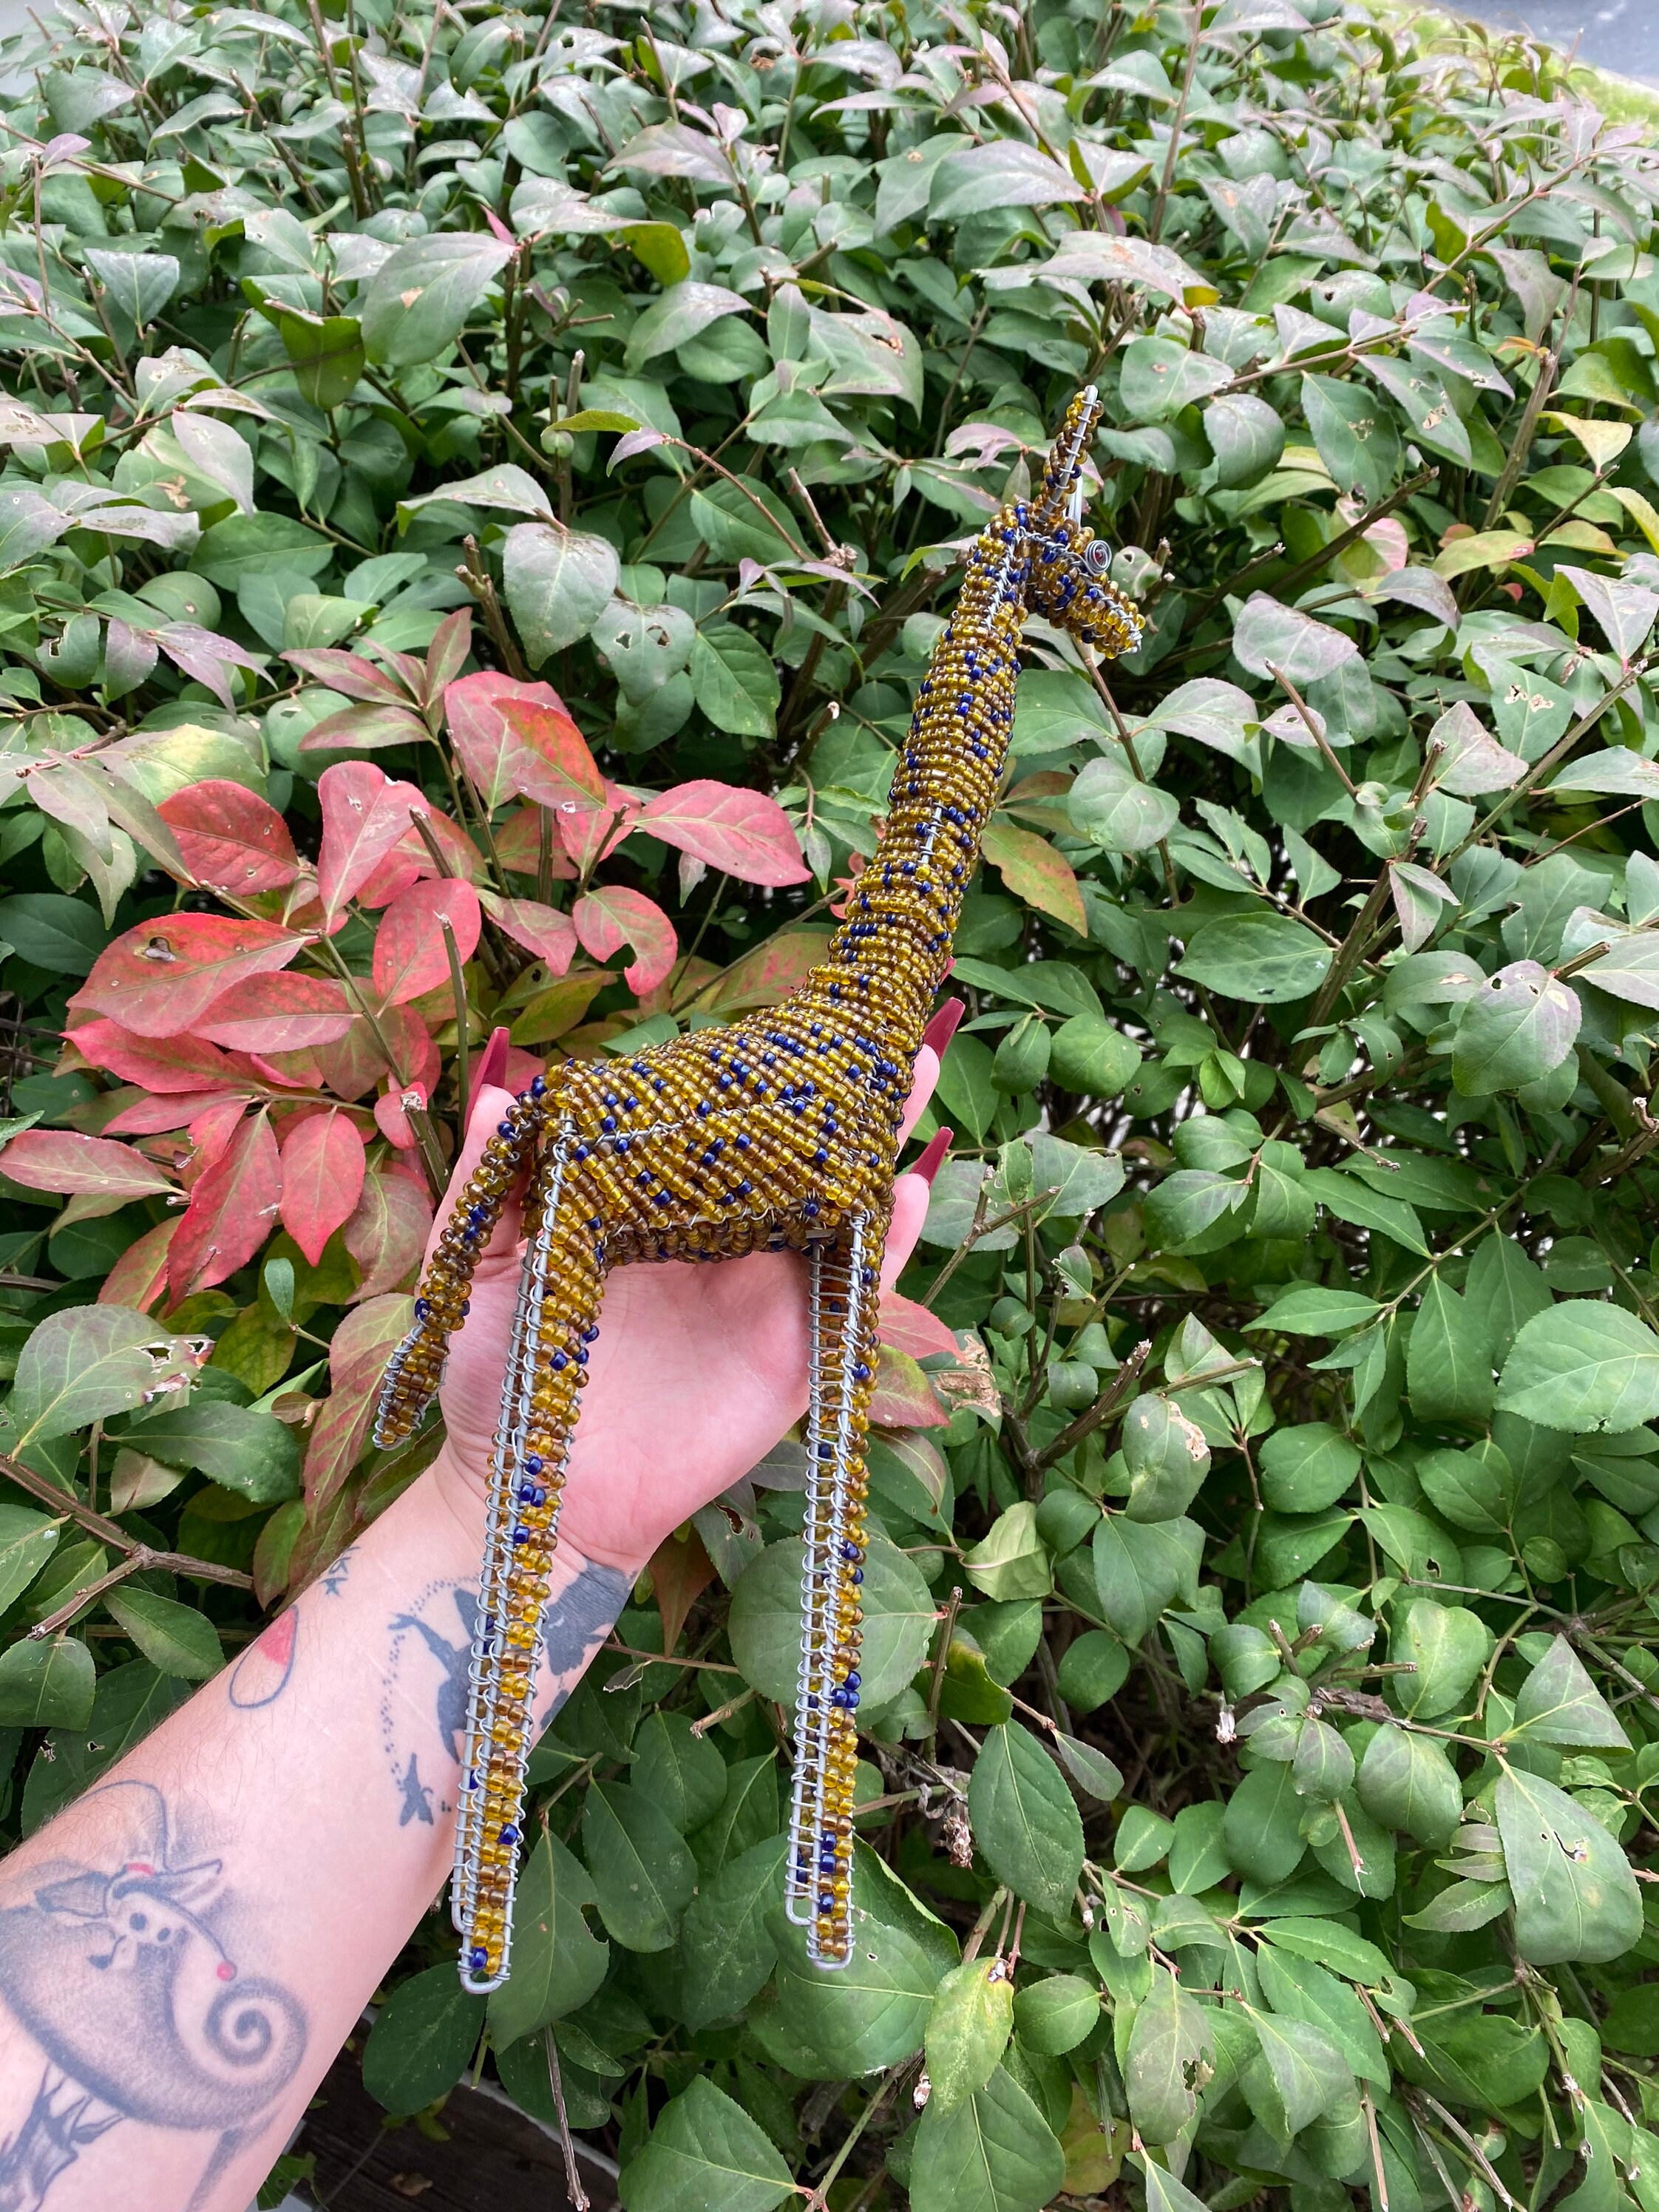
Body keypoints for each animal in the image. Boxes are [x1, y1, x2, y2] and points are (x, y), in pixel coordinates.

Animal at [373, 387, 1144, 1991]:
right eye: (1075, 555)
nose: (1135, 624)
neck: (873, 995)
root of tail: (551, 1107)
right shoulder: (850, 1245)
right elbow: (844, 1544)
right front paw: (835, 1915)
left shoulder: (834, 1260)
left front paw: (812, 1896)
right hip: (581, 1263)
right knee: (520, 1538)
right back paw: (489, 1930)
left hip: (518, 1229)